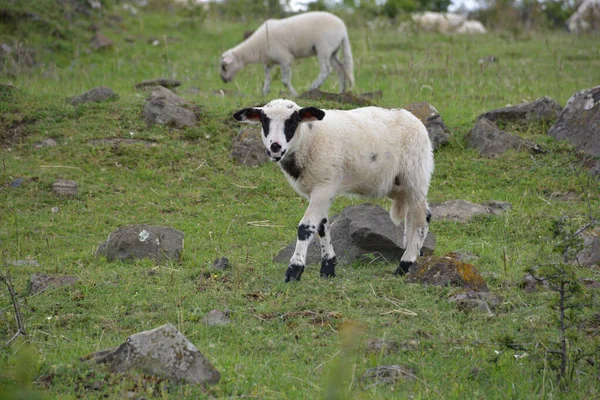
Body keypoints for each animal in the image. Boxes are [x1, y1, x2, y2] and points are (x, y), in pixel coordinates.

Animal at [220, 11, 354, 96]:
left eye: (224, 66)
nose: (223, 80)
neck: (255, 48)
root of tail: (343, 30)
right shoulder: (268, 62)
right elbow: (267, 79)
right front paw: (264, 93)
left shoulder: (285, 58)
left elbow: (285, 81)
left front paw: (294, 94)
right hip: (333, 51)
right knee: (340, 68)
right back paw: (341, 91)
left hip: (324, 47)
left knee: (326, 70)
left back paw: (312, 88)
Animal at [232, 99, 434, 282]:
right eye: (264, 121)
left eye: (293, 121)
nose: (275, 147)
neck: (309, 139)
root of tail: (413, 118)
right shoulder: (317, 190)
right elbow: (321, 227)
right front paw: (328, 268)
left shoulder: (324, 186)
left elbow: (305, 227)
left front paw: (294, 270)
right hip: (397, 184)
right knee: (412, 217)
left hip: (415, 176)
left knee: (422, 218)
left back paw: (404, 265)